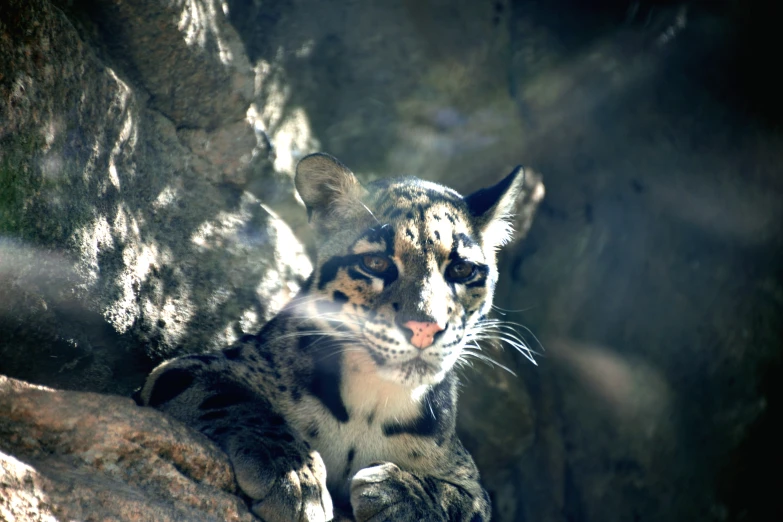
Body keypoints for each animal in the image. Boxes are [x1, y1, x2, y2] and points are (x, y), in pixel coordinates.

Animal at [133, 152, 528, 516]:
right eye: (375, 263)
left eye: (461, 269)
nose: (425, 327)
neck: (372, 404)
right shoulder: (194, 365)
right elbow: (234, 399)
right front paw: (292, 474)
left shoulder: (470, 480)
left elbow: (459, 500)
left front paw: (400, 492)